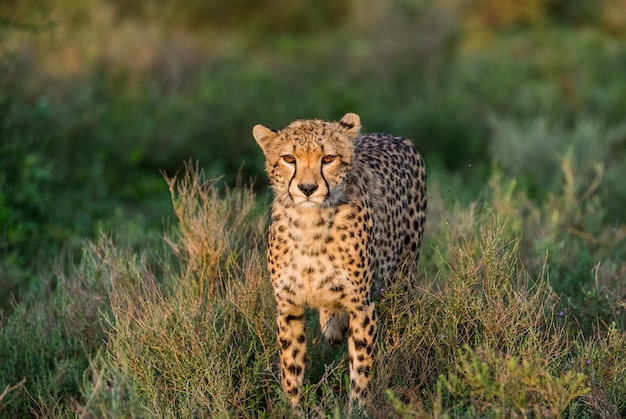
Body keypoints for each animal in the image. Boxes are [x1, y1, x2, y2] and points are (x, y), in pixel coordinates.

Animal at [252, 113, 424, 408]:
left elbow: (362, 363)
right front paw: (294, 406)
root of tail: (392, 136)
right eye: (289, 158)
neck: (310, 224)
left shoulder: (362, 306)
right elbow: (291, 364)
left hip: (403, 275)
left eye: (328, 158)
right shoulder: (289, 306)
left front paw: (358, 406)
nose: (307, 188)